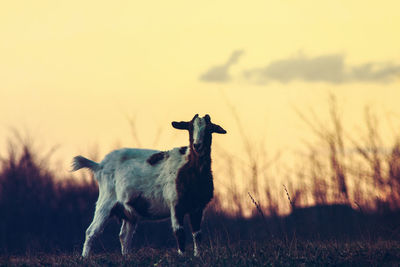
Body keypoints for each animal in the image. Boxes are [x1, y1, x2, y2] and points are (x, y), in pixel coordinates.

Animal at [72, 114, 227, 258]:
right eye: (190, 128)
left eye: (209, 129)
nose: (197, 145)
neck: (190, 168)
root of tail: (99, 165)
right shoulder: (175, 204)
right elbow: (180, 232)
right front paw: (182, 256)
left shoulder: (198, 207)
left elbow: (197, 234)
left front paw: (197, 256)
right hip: (106, 201)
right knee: (92, 231)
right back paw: (85, 257)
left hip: (129, 211)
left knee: (124, 235)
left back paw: (126, 256)